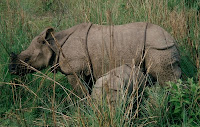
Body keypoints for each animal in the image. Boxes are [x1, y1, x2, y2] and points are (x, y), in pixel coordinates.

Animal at [9, 22, 181, 95]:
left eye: (27, 58)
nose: (11, 70)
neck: (53, 44)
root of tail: (171, 38)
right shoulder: (87, 70)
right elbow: (88, 88)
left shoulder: (74, 71)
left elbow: (79, 92)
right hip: (160, 46)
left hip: (158, 47)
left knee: (167, 79)